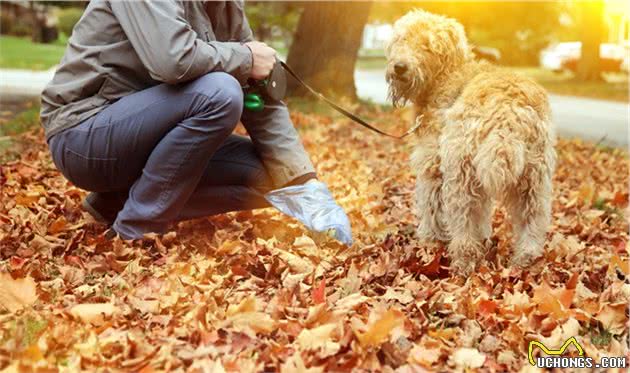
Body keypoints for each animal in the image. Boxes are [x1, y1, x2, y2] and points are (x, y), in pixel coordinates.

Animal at [386, 10, 556, 274]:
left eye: (427, 44)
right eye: (403, 38)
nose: (400, 67)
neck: (447, 76)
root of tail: (508, 108)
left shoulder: (432, 168)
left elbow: (431, 208)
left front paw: (430, 240)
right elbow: (483, 214)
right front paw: (483, 238)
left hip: (459, 174)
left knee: (462, 221)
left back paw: (462, 262)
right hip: (533, 180)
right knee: (533, 220)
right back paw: (525, 259)